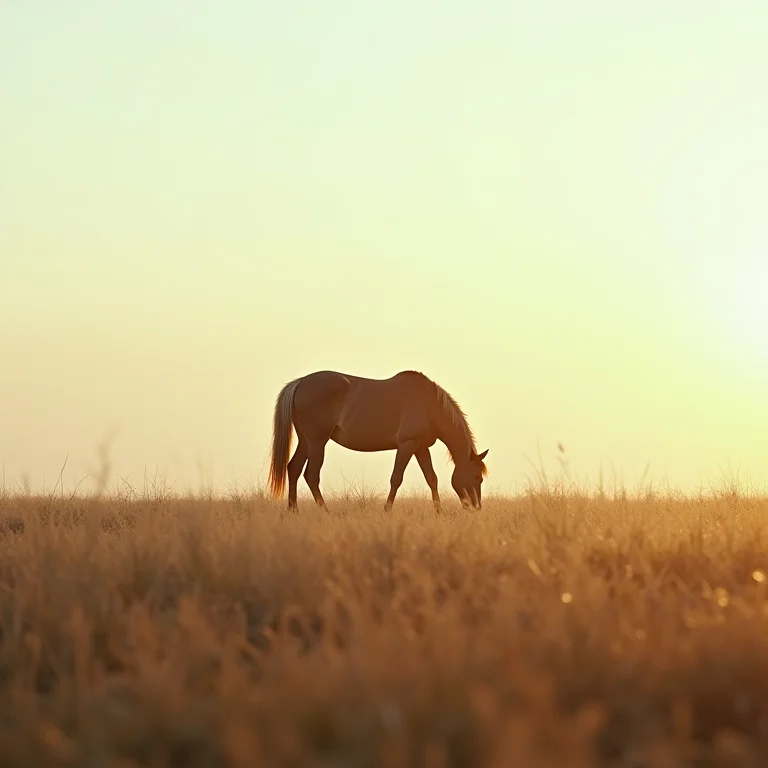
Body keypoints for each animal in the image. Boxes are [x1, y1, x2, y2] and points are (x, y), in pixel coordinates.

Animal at [267, 369, 488, 512]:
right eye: (477, 476)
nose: (476, 508)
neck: (428, 405)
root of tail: (300, 383)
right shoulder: (406, 445)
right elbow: (396, 478)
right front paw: (387, 510)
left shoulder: (420, 448)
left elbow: (431, 478)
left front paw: (439, 512)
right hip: (317, 442)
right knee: (311, 475)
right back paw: (326, 512)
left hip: (305, 441)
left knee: (293, 468)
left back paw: (293, 511)